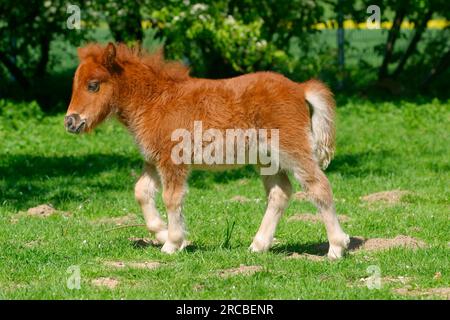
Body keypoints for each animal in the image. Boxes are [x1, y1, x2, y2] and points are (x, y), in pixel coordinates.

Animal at [65, 43, 350, 260]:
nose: (70, 122)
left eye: (93, 85)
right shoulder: (154, 160)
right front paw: (163, 233)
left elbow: (172, 198)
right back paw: (258, 245)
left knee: (319, 187)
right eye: (75, 84)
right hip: (267, 159)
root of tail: (300, 88)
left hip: (292, 150)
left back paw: (337, 247)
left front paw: (172, 243)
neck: (155, 101)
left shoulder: (173, 161)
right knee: (280, 193)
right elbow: (141, 192)